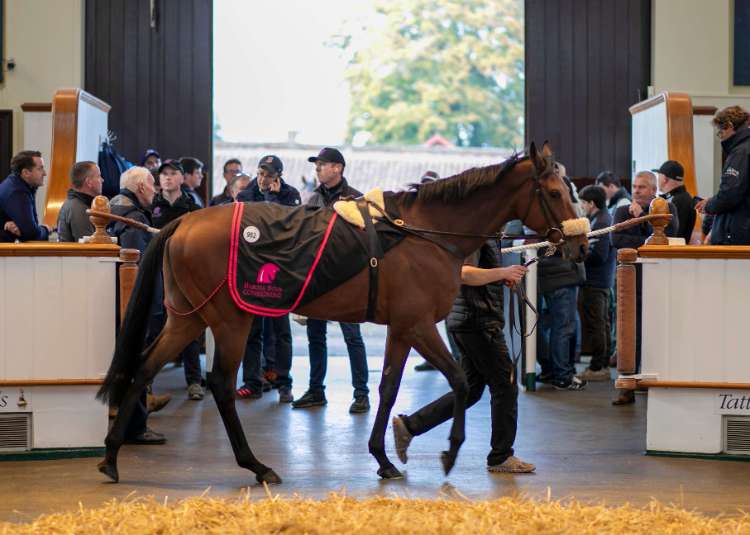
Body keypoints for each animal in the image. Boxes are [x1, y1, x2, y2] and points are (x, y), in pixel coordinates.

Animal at [96, 142, 588, 484]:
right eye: (555, 191)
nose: (581, 245)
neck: (424, 233)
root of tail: (182, 221)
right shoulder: (418, 325)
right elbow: (459, 380)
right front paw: (448, 453)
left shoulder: (401, 329)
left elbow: (388, 388)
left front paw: (385, 457)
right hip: (231, 320)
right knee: (219, 383)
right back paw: (256, 465)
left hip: (188, 317)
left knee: (144, 367)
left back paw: (111, 456)